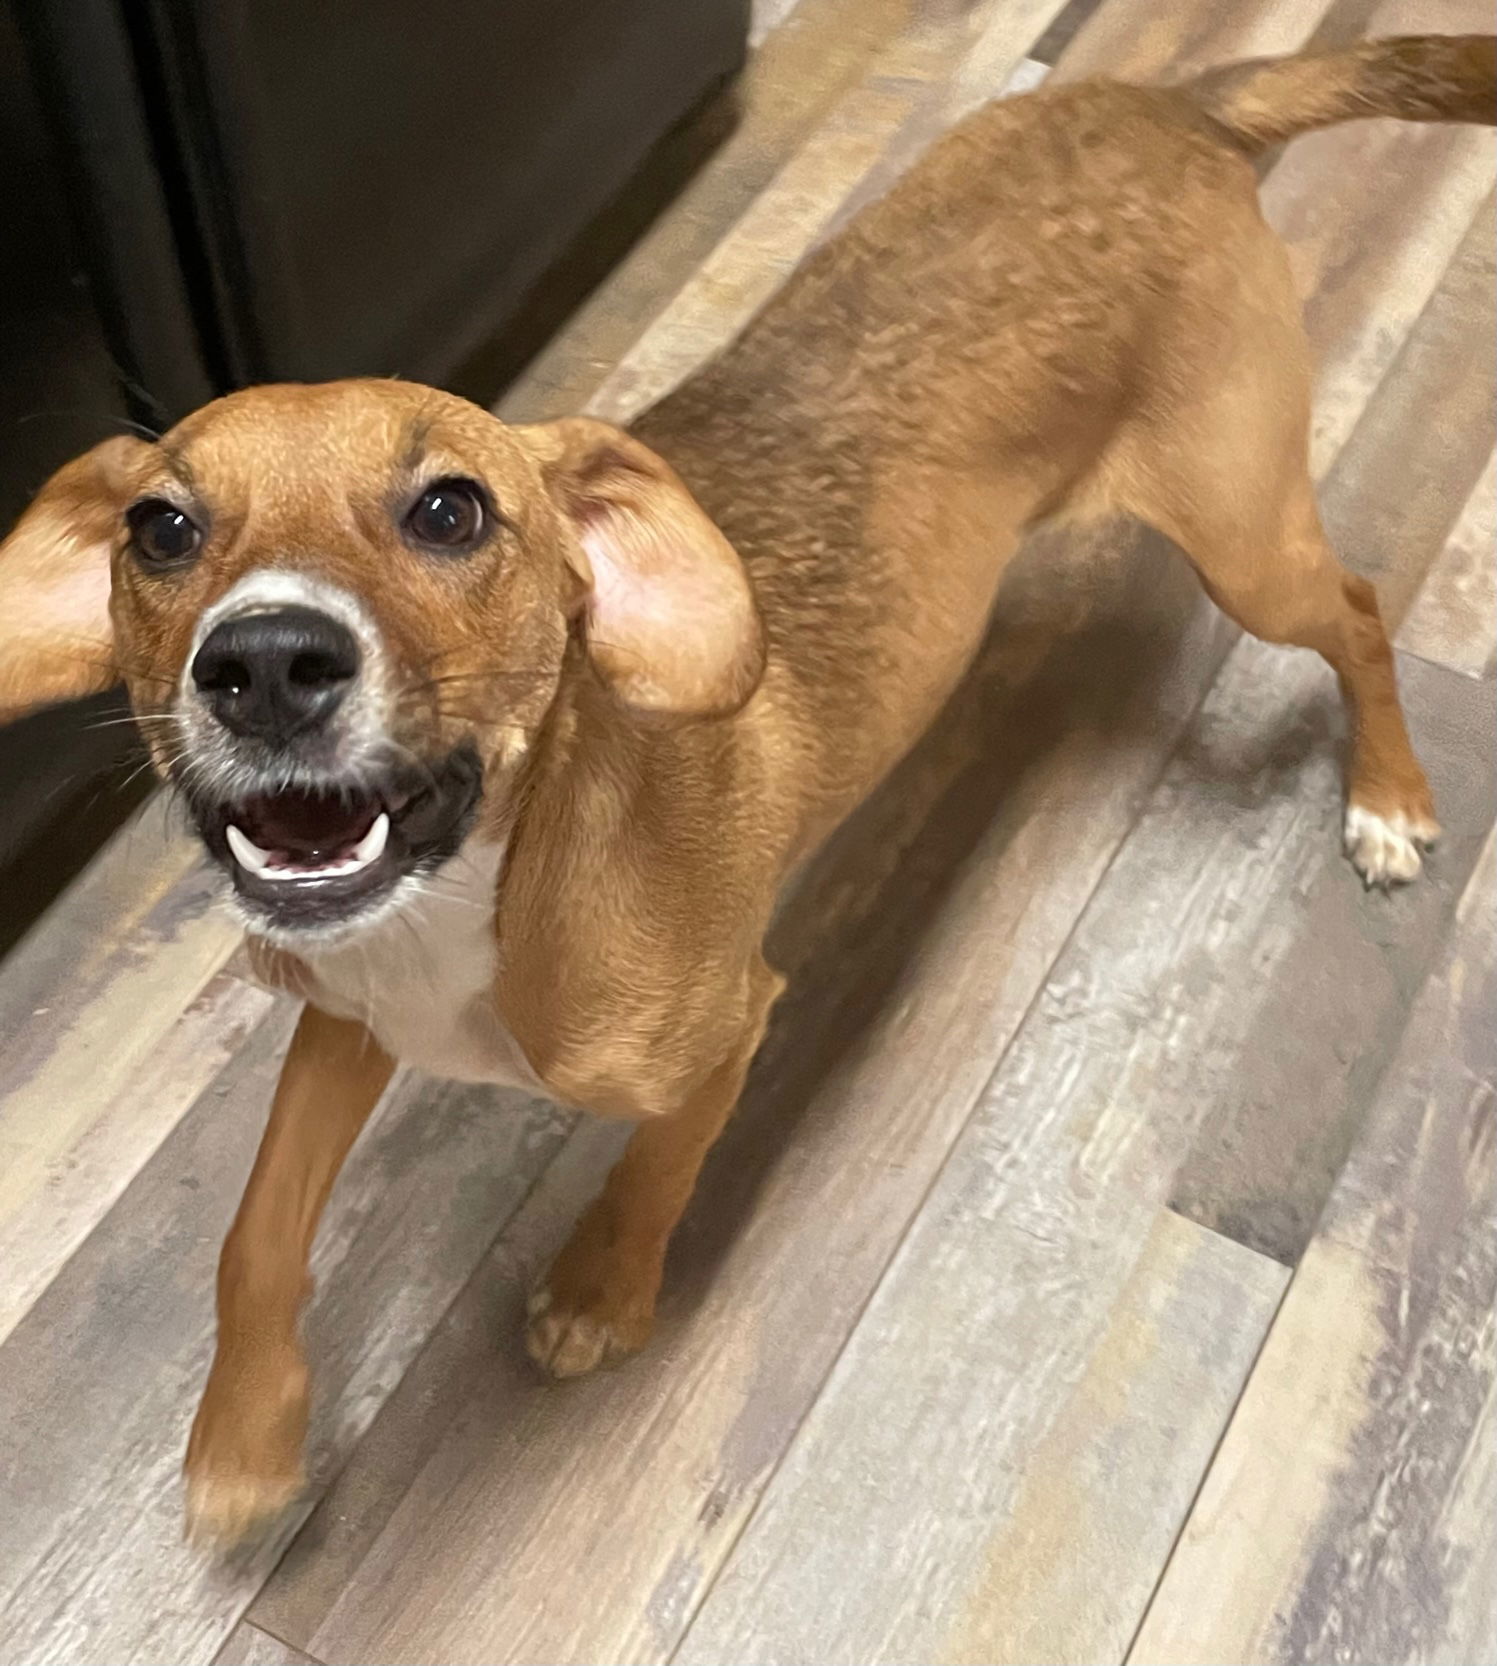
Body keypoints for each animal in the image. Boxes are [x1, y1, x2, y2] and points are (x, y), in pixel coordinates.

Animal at [0, 32, 1492, 1546]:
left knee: (1360, 612)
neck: (491, 881)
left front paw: (600, 1292)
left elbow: (655, 1161)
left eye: (452, 511)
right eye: (159, 528)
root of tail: (1181, 105)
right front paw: (246, 1437)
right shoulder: (345, 1016)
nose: (261, 664)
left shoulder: (721, 1030)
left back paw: (1386, 797)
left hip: (1243, 536)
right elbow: (254, 1231)